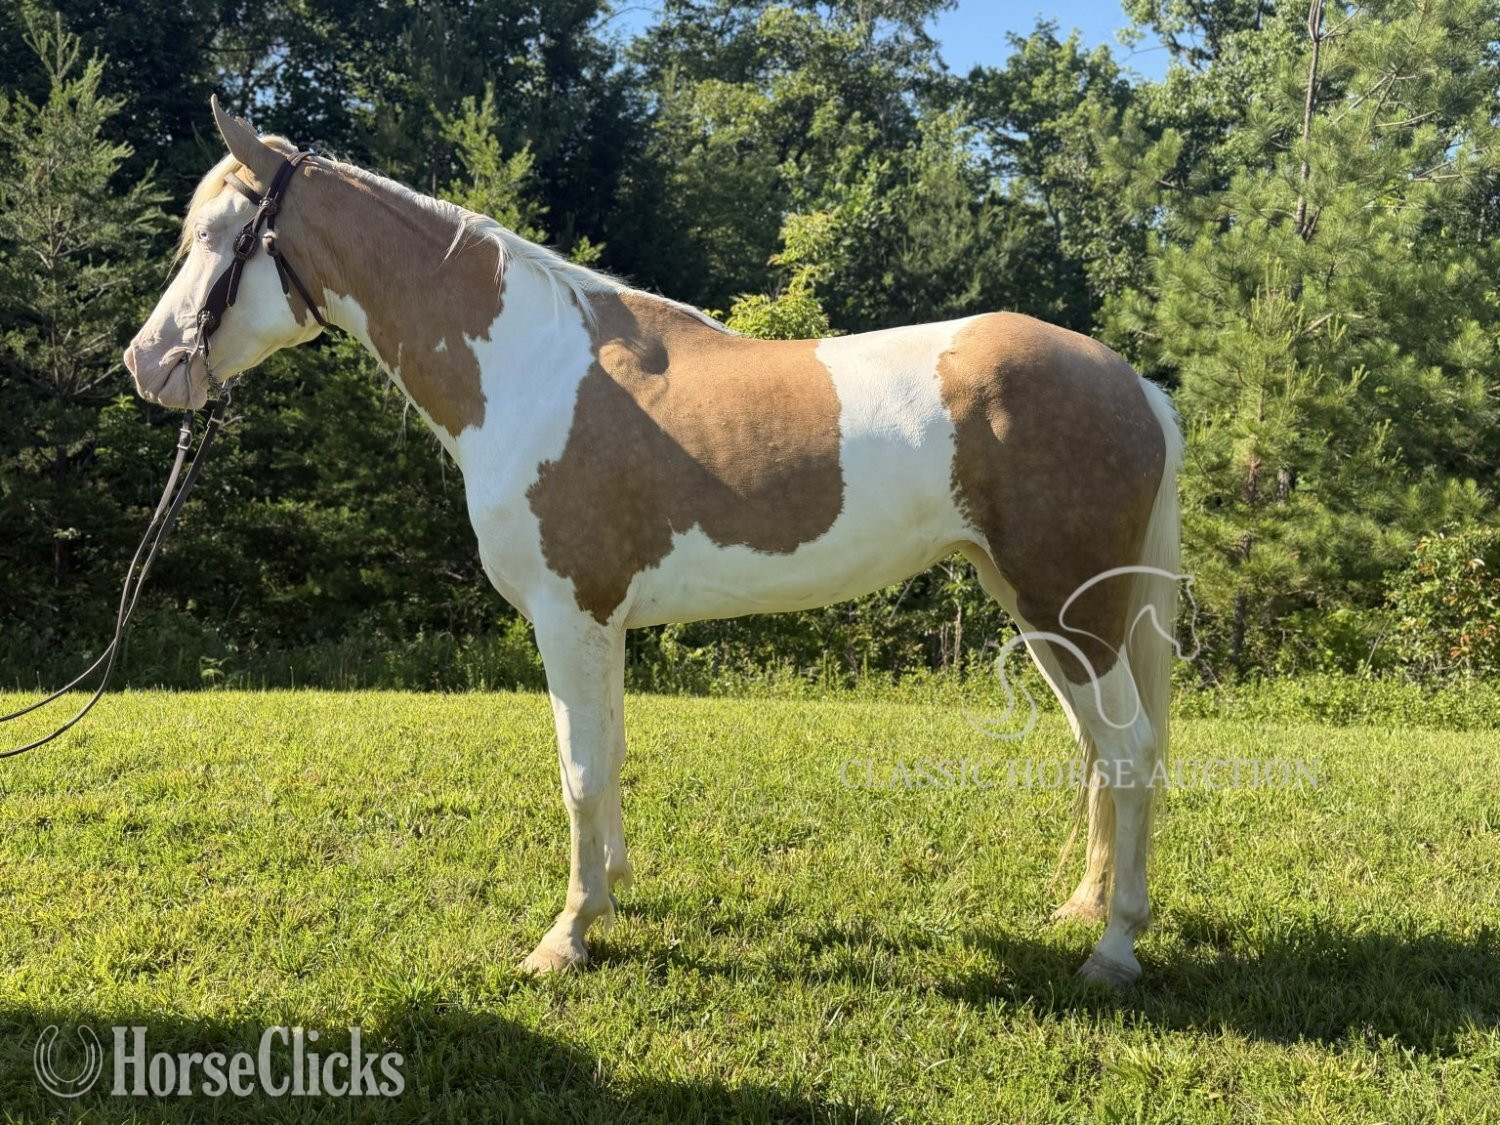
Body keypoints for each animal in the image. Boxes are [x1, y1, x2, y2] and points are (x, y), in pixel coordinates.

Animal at [125, 99, 1183, 987]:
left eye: (219, 238)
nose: (146, 363)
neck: (532, 372)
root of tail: (1134, 382)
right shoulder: (606, 623)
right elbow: (610, 755)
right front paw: (613, 895)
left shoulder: (569, 615)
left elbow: (580, 771)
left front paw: (566, 935)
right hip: (1040, 614)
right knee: (1097, 749)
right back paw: (1081, 908)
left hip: (1070, 612)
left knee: (1130, 753)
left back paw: (1114, 946)